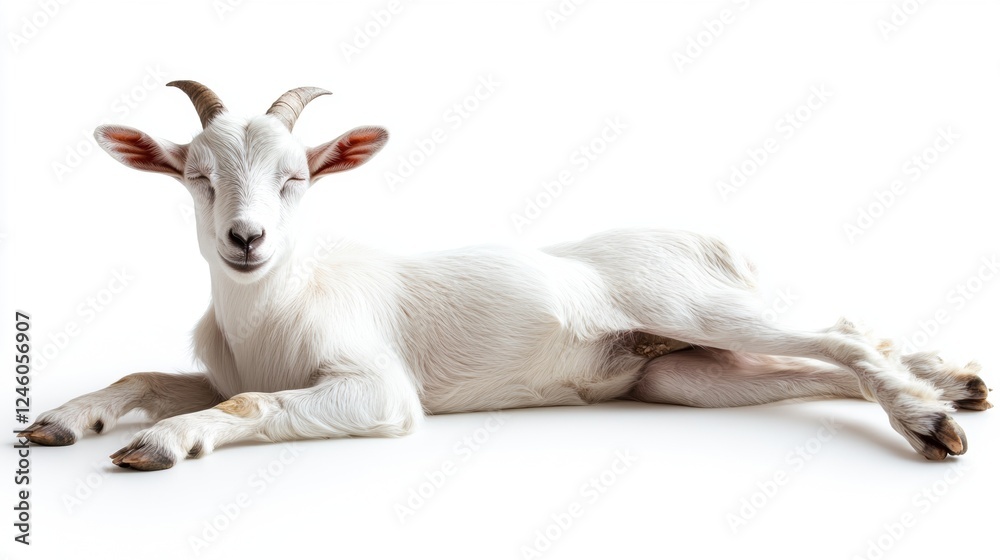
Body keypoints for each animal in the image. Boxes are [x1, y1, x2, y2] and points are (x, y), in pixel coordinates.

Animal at [21, 81, 990, 470]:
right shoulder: (227, 364)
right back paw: (954, 385)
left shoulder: (378, 390)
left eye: (297, 176)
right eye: (196, 175)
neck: (274, 308)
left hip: (693, 306)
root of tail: (714, 243)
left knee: (840, 337)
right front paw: (66, 420)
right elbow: (151, 374)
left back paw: (929, 419)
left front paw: (161, 443)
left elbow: (248, 403)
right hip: (681, 373)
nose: (247, 239)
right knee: (818, 361)